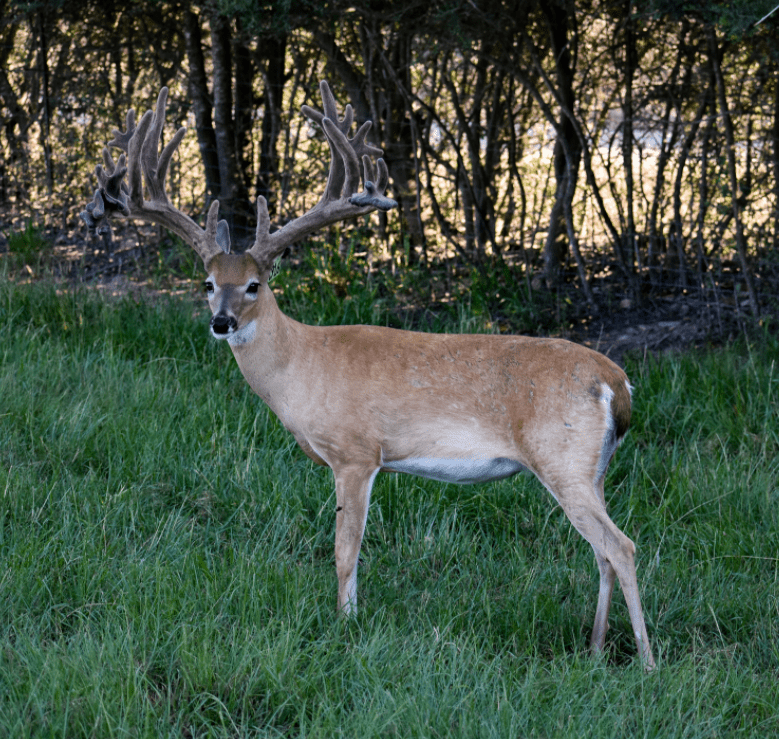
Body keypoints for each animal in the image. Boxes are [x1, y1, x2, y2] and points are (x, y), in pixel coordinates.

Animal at [81, 81, 655, 669]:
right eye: (207, 283)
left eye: (254, 286)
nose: (222, 322)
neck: (302, 364)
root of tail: (617, 382)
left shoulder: (355, 451)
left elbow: (344, 548)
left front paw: (344, 623)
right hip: (593, 467)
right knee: (603, 551)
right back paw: (594, 647)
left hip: (561, 457)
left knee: (622, 546)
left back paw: (646, 659)